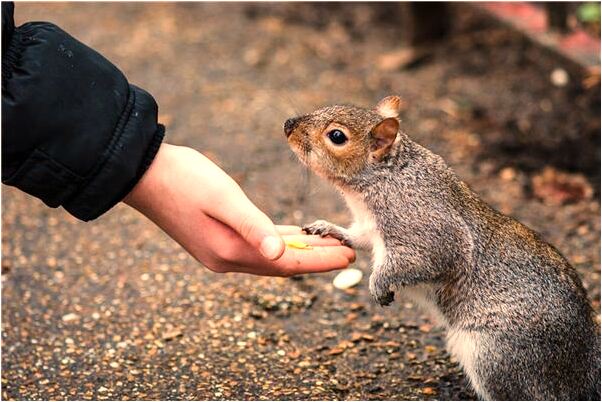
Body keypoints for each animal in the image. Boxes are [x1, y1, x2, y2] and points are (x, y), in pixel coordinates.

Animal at [282, 96, 600, 400]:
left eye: (337, 136)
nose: (288, 125)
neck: (384, 179)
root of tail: (583, 363)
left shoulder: (426, 229)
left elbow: (425, 260)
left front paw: (378, 283)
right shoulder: (368, 227)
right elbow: (357, 237)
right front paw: (328, 228)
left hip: (496, 355)